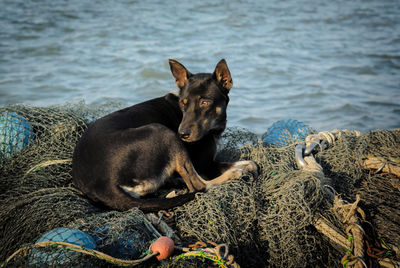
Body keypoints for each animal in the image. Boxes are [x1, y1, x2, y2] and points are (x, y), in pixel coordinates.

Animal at [72, 59, 258, 213]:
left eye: (205, 102)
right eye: (183, 103)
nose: (182, 134)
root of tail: (102, 186)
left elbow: (247, 161)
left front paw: (247, 165)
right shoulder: (204, 165)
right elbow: (230, 165)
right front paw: (239, 168)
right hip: (163, 132)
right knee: (199, 186)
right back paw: (233, 174)